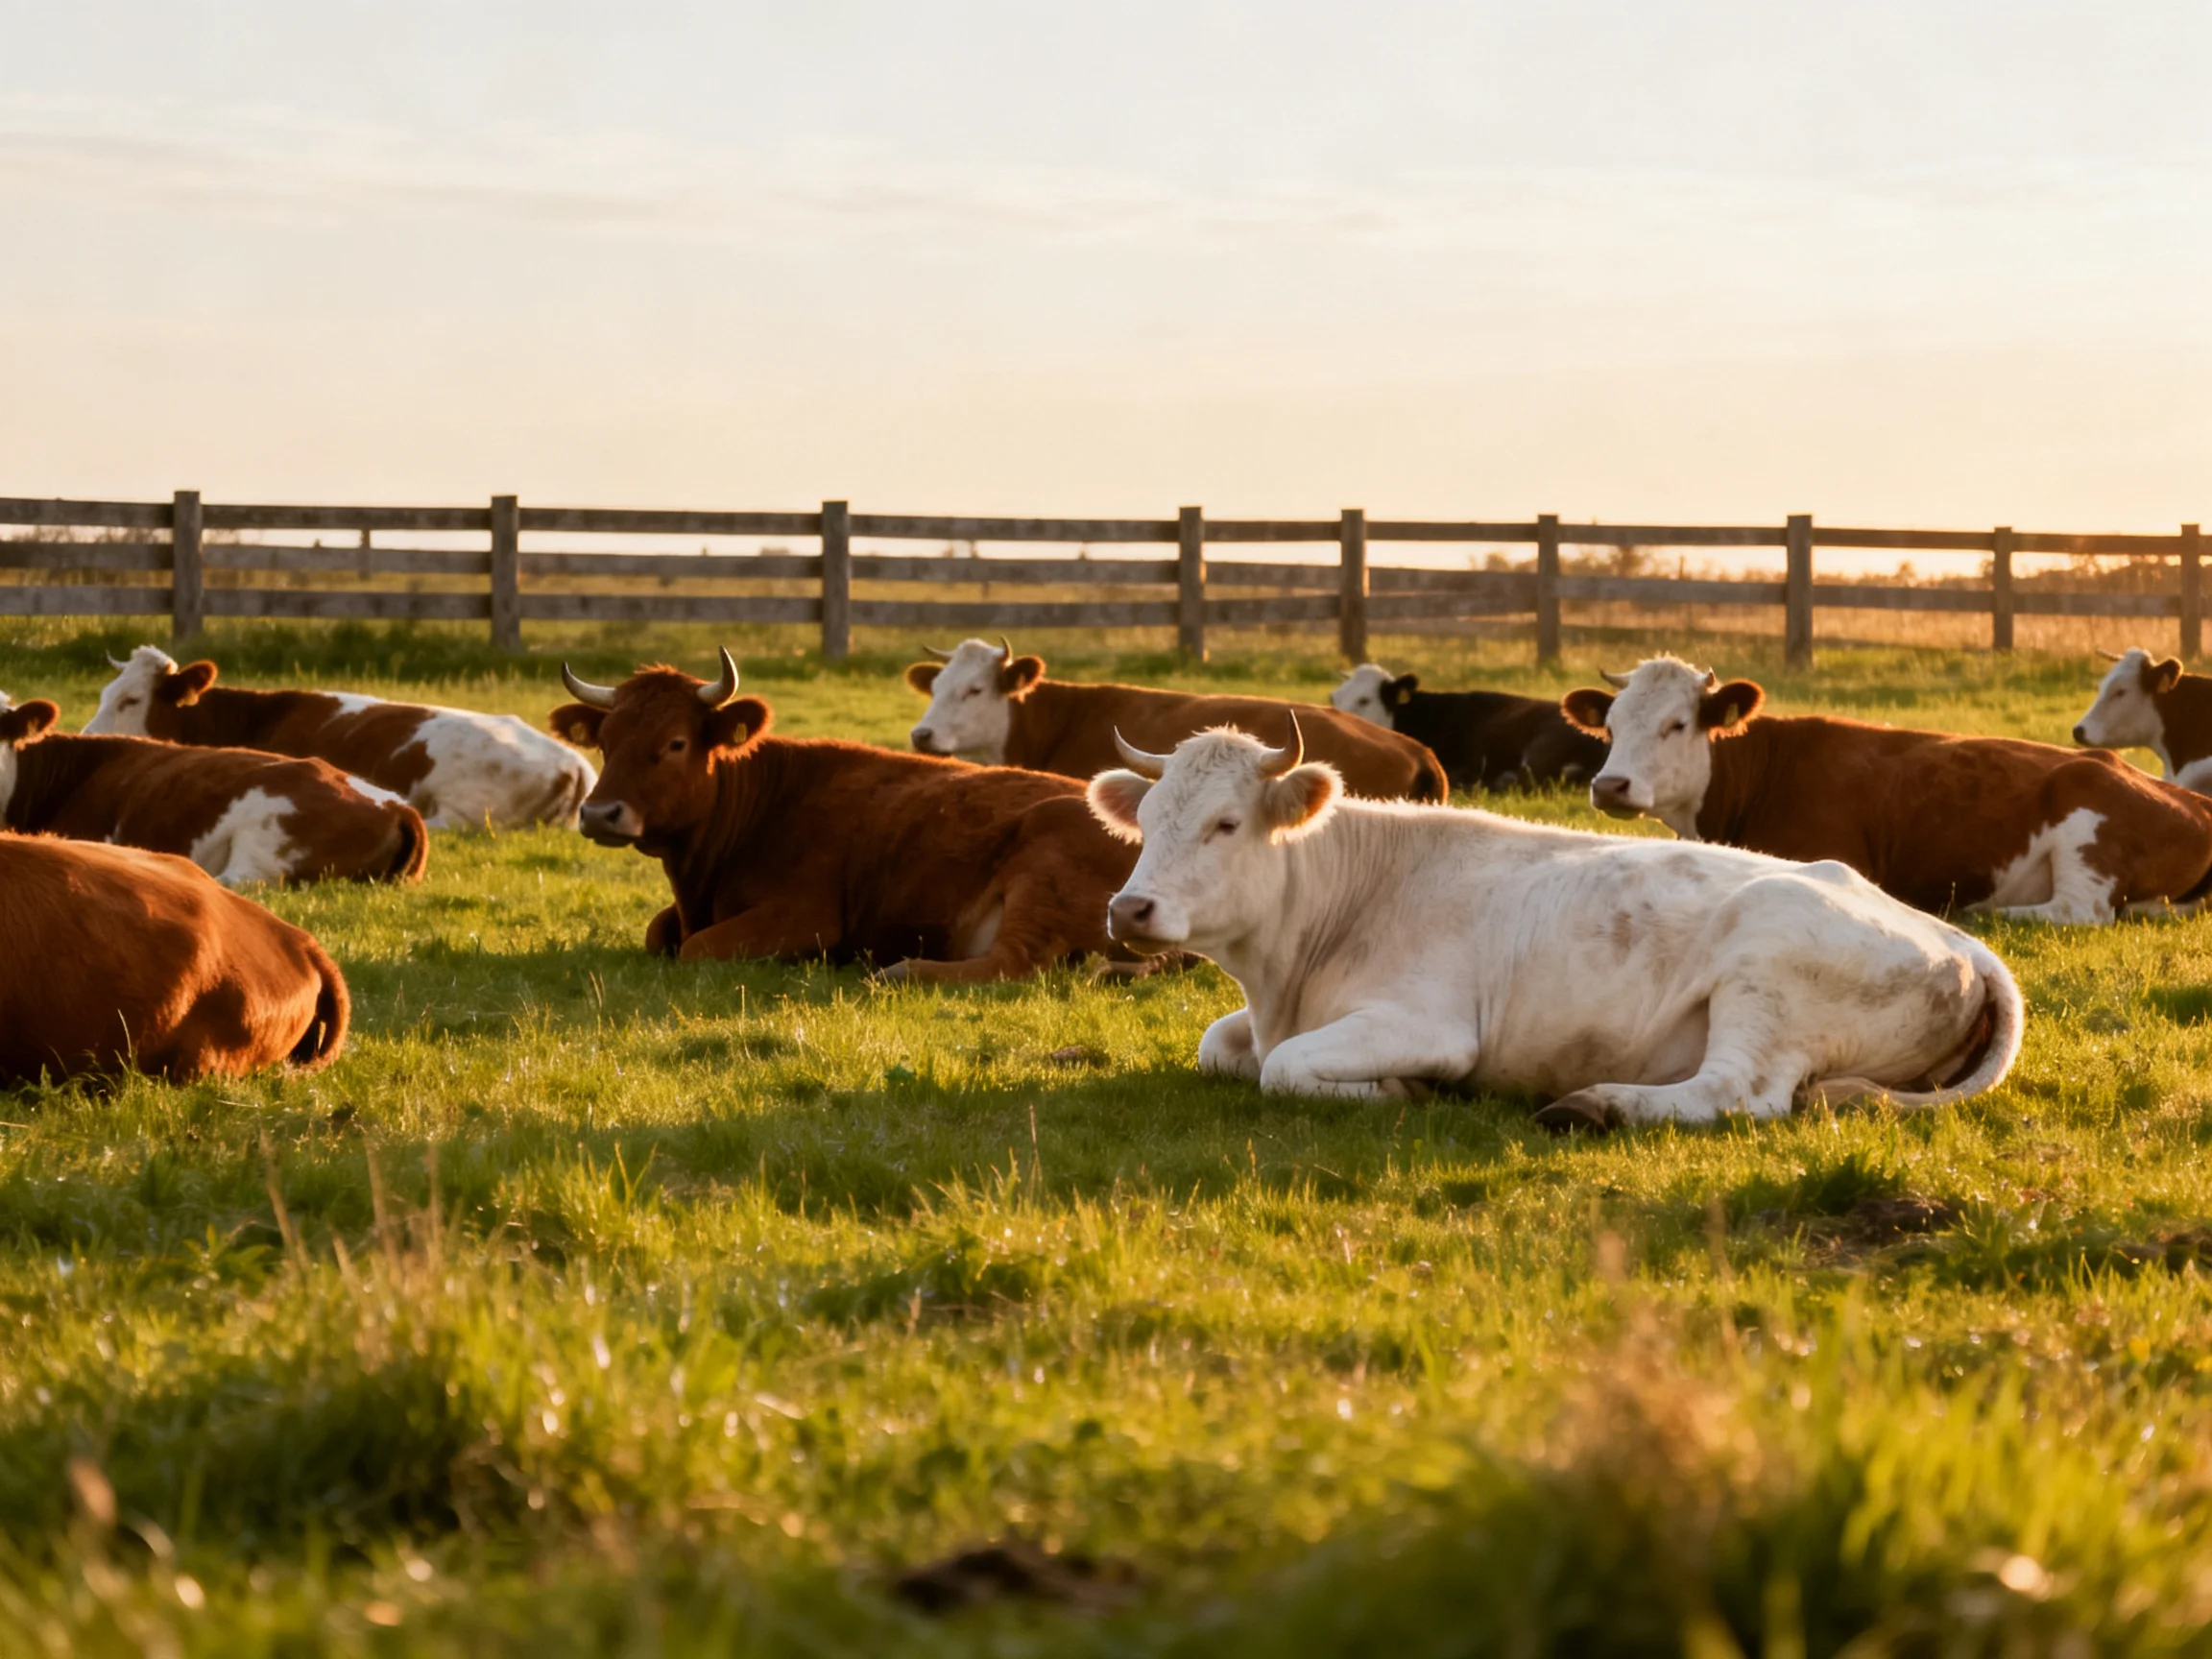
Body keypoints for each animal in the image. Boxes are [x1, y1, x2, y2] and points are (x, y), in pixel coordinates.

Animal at [549, 649, 1148, 980]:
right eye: (605, 740)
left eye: (675, 743)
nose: (600, 813)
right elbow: (658, 933)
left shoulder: (804, 918)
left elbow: (695, 948)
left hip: (1040, 867)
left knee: (1012, 964)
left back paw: (900, 970)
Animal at [1086, 723, 2022, 1127]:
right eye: (1151, 819)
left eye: (1225, 824)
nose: (1129, 909)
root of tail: (1961, 943)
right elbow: (1220, 1045)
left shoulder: (1429, 1023)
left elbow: (1282, 1068)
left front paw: (1405, 1089)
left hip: (1766, 976)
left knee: (1737, 1094)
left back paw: (1594, 1104)